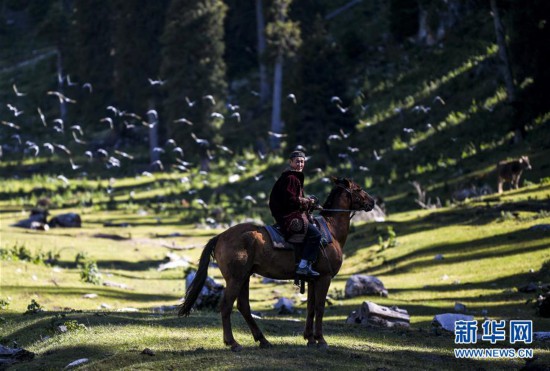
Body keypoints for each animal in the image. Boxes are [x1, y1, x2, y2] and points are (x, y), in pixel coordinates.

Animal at [179, 177, 378, 352]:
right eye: (359, 188)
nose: (373, 201)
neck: (331, 231)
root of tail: (220, 236)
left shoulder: (313, 280)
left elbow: (310, 308)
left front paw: (310, 339)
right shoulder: (324, 278)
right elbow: (320, 308)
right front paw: (321, 340)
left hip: (244, 277)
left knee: (244, 306)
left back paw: (263, 340)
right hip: (235, 279)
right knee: (227, 306)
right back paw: (233, 343)